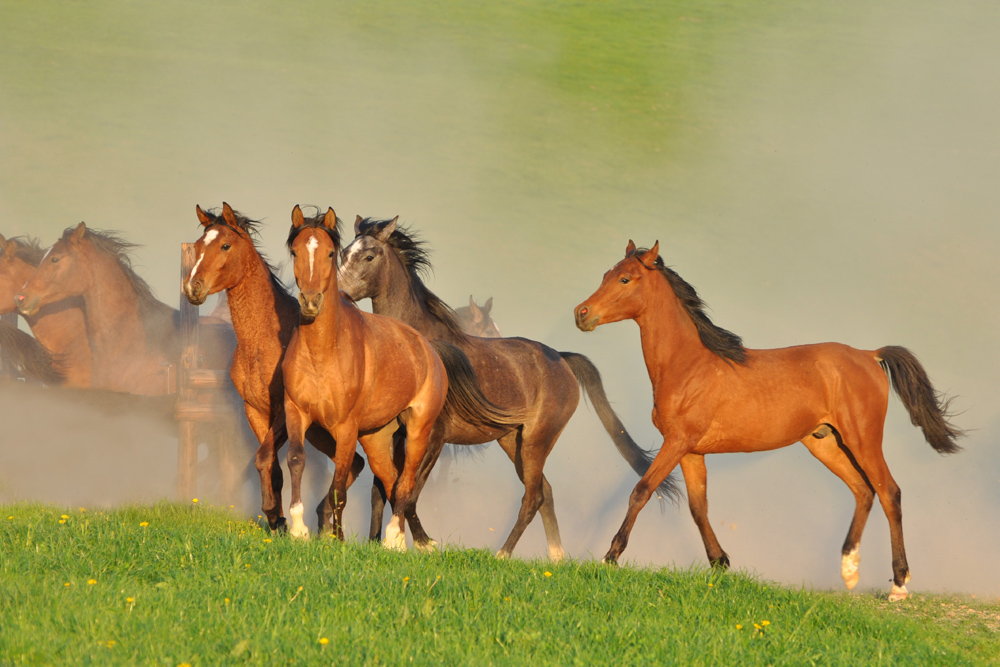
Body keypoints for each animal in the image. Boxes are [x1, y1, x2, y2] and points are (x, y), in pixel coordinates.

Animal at [184, 201, 368, 536]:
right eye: (199, 245)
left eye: (225, 245)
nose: (193, 288)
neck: (263, 342)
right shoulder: (256, 412)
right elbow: (271, 466)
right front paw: (279, 521)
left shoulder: (284, 412)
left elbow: (263, 458)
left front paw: (275, 516)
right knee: (356, 465)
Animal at [338, 217, 680, 560]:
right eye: (343, 252)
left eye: (369, 256)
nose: (338, 292)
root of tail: (562, 358)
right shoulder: (394, 433)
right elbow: (383, 489)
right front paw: (377, 541)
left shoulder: (434, 436)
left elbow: (407, 490)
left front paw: (419, 542)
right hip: (512, 442)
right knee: (545, 491)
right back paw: (557, 557)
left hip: (536, 441)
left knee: (533, 497)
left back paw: (503, 553)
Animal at [576, 241, 964, 604]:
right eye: (606, 274)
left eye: (625, 279)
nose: (581, 314)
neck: (688, 365)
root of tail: (869, 356)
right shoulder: (691, 451)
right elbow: (698, 507)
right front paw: (721, 563)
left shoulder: (677, 442)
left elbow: (641, 491)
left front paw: (609, 558)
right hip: (825, 443)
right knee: (862, 490)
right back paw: (849, 571)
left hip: (863, 439)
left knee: (889, 492)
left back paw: (898, 584)